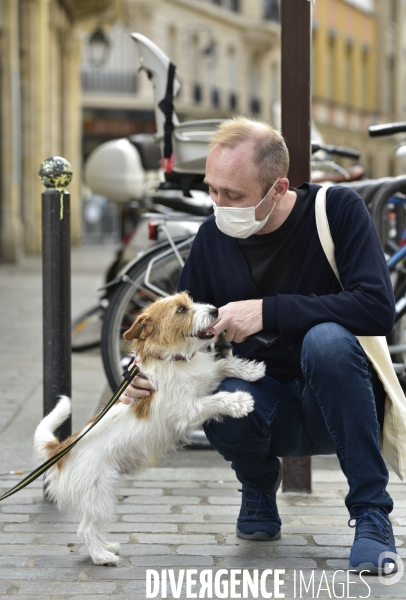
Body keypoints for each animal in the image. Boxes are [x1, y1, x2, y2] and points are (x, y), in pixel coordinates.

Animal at [33, 292, 264, 564]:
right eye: (181, 310)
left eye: (190, 301)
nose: (215, 310)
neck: (174, 360)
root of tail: (61, 449)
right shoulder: (188, 409)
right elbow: (216, 399)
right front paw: (240, 402)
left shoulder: (204, 378)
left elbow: (222, 366)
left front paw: (251, 370)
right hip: (99, 493)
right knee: (86, 529)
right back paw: (102, 556)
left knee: (93, 527)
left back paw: (108, 546)